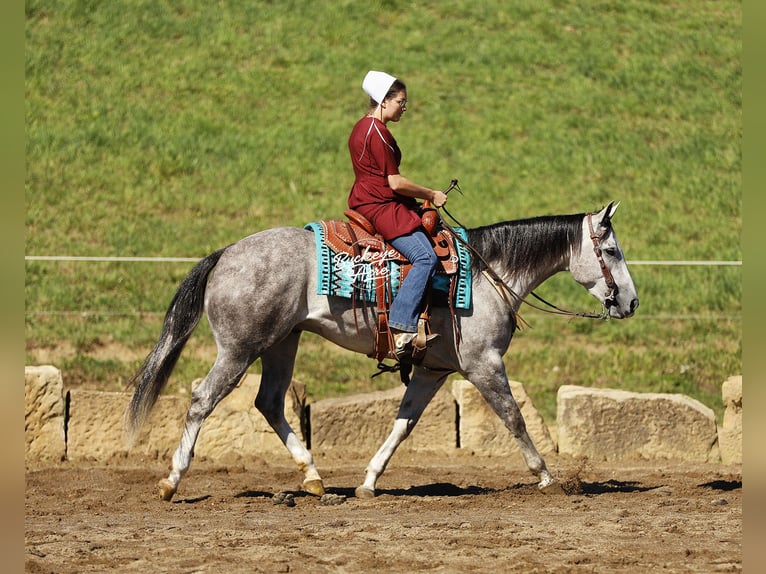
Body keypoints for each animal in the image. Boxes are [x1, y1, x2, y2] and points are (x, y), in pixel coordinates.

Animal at [125, 201, 638, 501]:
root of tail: (227, 253)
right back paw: (172, 480)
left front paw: (369, 481)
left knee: (269, 402)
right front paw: (547, 477)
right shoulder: (484, 365)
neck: (488, 273)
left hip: (281, 344)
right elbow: (514, 417)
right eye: (612, 250)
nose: (631, 302)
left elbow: (402, 425)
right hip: (239, 350)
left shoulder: (432, 371)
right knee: (202, 401)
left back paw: (313, 478)